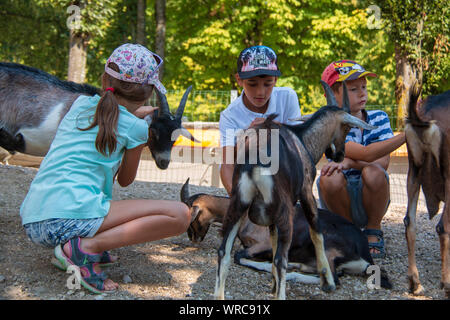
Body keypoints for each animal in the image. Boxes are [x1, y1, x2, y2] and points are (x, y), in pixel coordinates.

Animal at [181, 179, 392, 288]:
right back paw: (293, 264)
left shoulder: (265, 243)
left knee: (334, 279)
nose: (193, 239)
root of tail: (366, 257)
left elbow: (239, 256)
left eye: (191, 220)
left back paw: (290, 274)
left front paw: (268, 267)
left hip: (326, 246)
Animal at [213, 80, 378, 300]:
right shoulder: (306, 193)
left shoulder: (271, 217)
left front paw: (273, 285)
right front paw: (327, 281)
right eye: (347, 126)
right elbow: (316, 232)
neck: (302, 139)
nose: (340, 155)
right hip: (284, 211)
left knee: (223, 252)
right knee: (280, 260)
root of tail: (255, 160)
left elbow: (273, 241)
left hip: (238, 204)